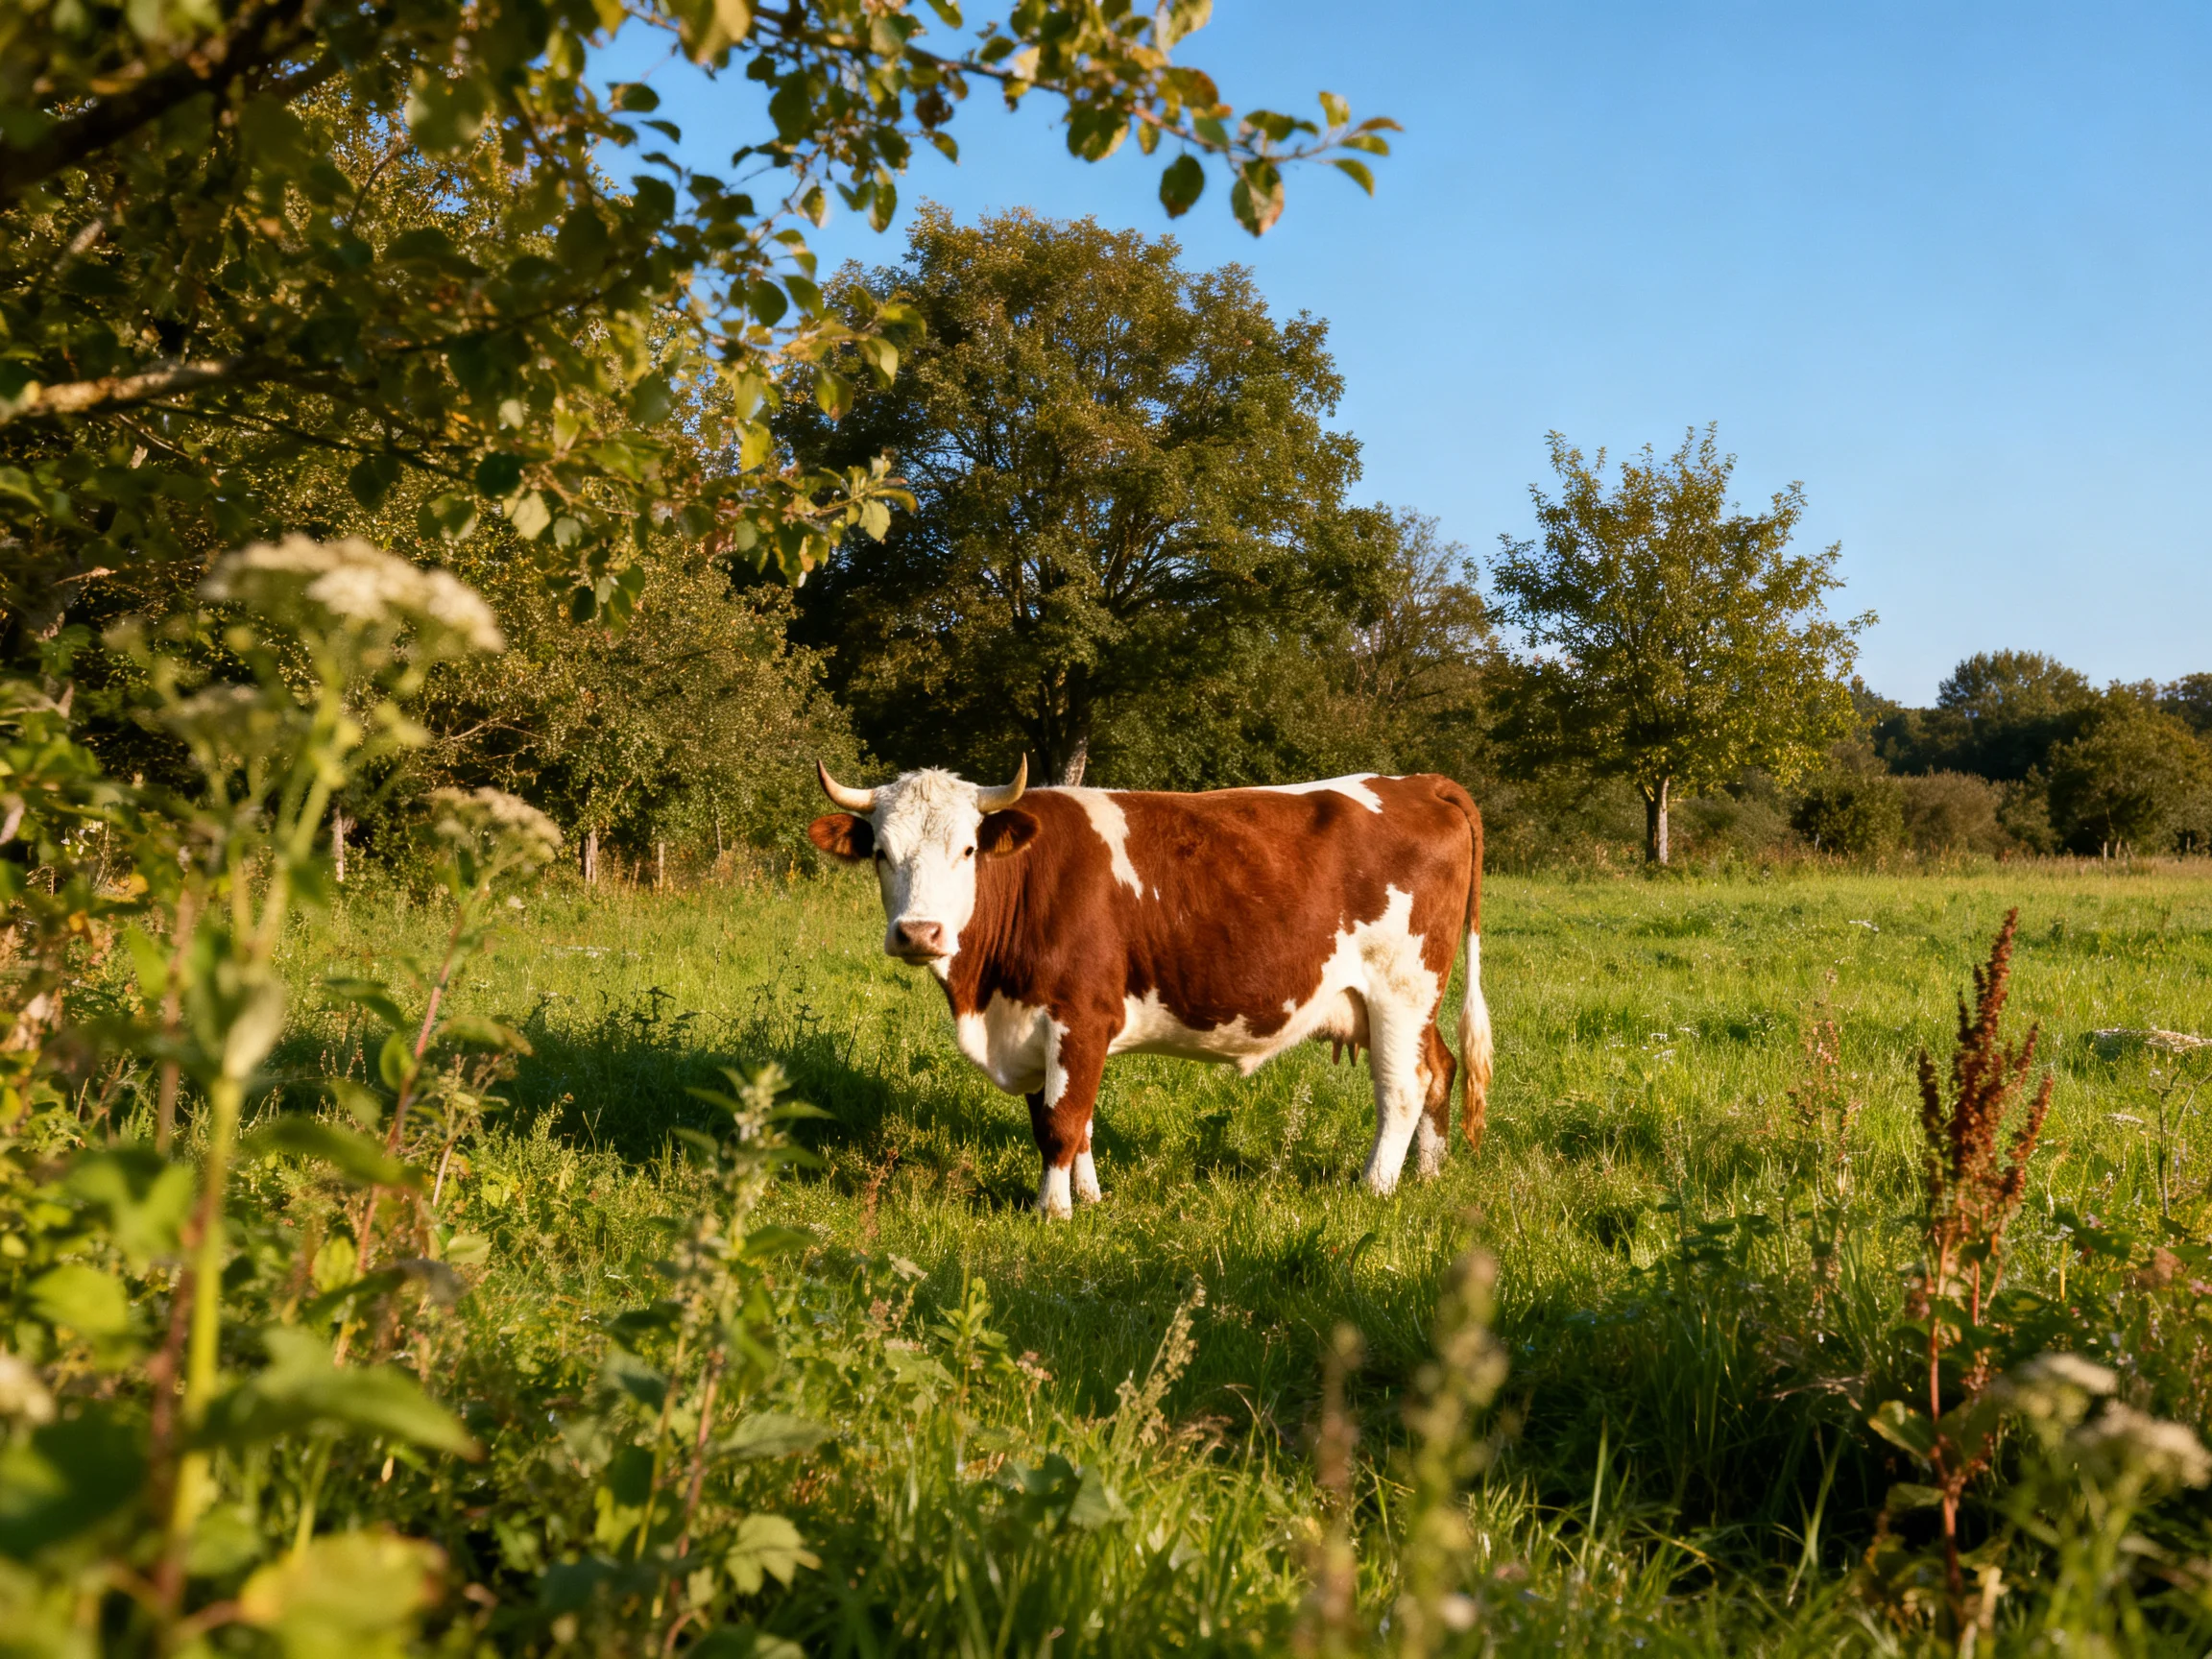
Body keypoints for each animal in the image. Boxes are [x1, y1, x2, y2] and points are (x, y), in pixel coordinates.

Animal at [806, 758, 1493, 1217]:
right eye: (880, 853)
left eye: (968, 849)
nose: (918, 932)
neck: (987, 1001)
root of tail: (1420, 782)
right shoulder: (1036, 1027)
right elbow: (1070, 1119)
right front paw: (1089, 1198)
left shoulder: (1080, 1016)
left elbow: (1062, 1122)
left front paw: (1053, 1212)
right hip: (1402, 1004)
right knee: (1441, 1067)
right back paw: (1428, 1176)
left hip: (1401, 988)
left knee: (1403, 1087)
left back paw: (1375, 1187)